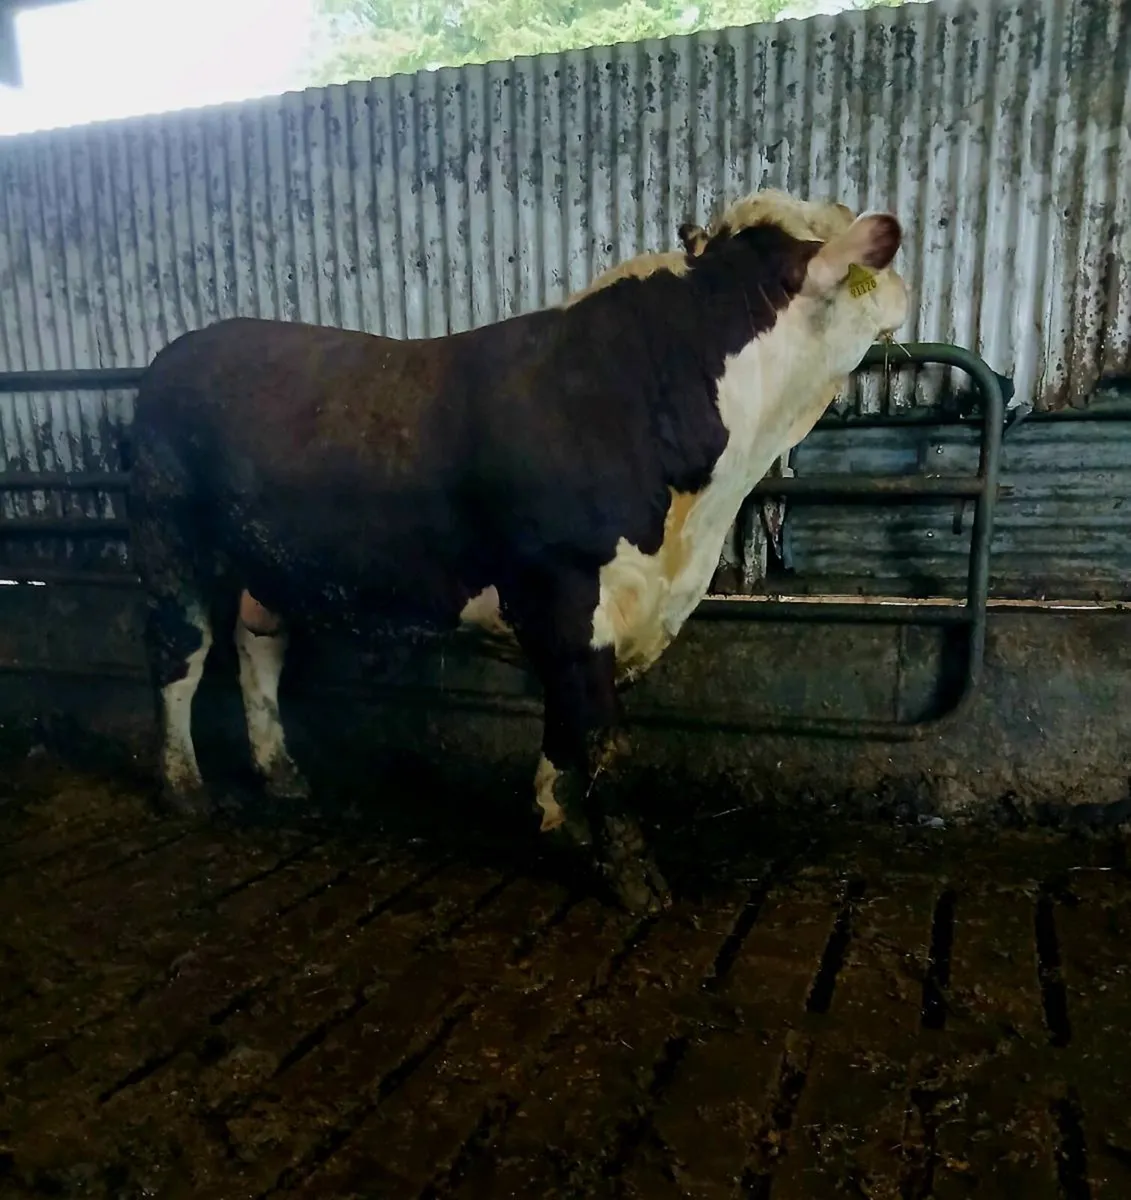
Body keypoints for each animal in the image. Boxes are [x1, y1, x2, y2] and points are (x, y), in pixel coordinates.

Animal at [129, 188, 908, 915]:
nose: (903, 285)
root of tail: (181, 350)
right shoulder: (565, 588)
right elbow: (600, 734)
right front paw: (633, 875)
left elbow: (564, 724)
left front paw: (558, 822)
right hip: (169, 542)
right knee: (181, 655)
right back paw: (182, 784)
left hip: (268, 564)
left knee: (257, 644)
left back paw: (281, 772)